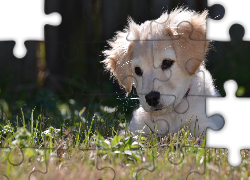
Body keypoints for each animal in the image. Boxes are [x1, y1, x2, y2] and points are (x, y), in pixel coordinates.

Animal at [102, 6, 224, 136]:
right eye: (137, 70)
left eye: (167, 62)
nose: (151, 98)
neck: (170, 115)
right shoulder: (135, 129)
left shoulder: (203, 124)